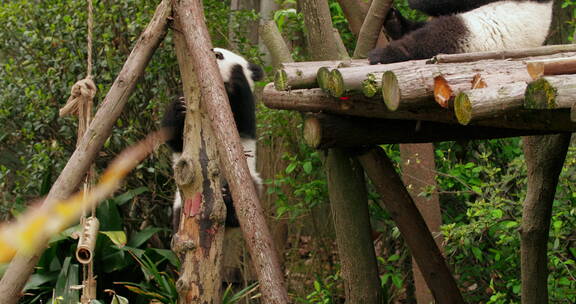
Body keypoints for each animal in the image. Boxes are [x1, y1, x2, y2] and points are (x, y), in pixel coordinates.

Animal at [160, 47, 264, 228]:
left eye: (219, 55)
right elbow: (174, 140)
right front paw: (178, 107)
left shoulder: (244, 118)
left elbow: (243, 120)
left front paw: (236, 74)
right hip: (180, 201)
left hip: (249, 179)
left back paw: (229, 199)